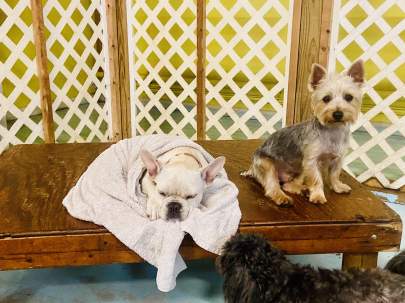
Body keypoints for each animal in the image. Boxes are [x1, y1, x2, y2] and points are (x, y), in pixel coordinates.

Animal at [241, 59, 364, 207]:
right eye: (326, 98)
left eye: (349, 97)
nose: (338, 114)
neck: (333, 130)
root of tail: (252, 168)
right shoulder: (311, 161)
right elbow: (317, 179)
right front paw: (318, 195)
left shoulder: (337, 158)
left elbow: (334, 174)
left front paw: (338, 187)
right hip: (266, 164)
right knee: (273, 186)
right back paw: (282, 197)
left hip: (300, 169)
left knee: (288, 185)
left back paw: (302, 189)